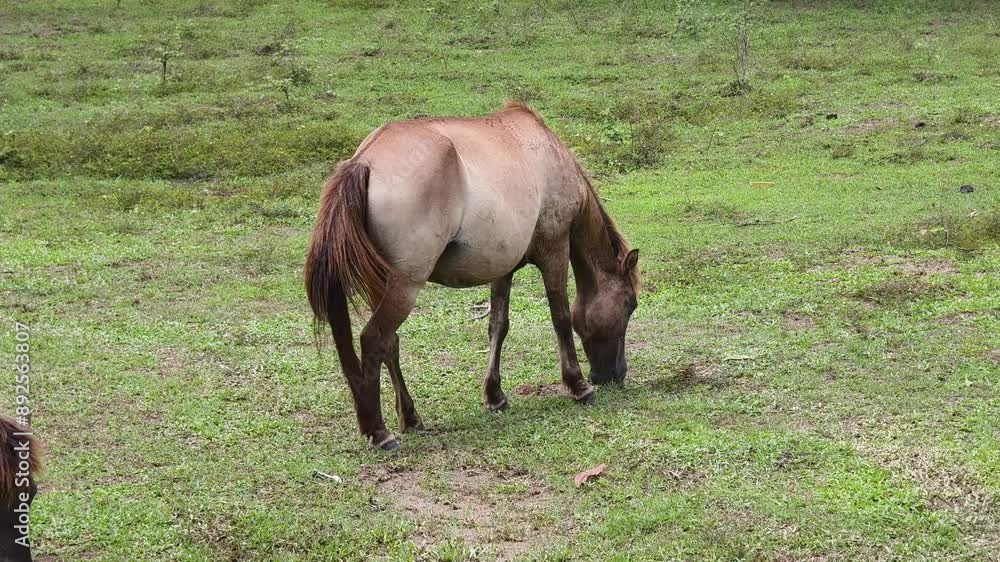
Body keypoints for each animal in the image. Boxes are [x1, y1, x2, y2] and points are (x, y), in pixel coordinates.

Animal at [305, 102, 640, 451]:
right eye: (630, 304)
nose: (617, 373)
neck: (549, 153)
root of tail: (364, 161)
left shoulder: (503, 268)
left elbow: (498, 326)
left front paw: (495, 395)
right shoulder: (555, 249)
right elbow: (560, 318)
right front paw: (578, 386)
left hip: (381, 284)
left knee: (389, 343)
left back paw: (410, 417)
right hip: (404, 286)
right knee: (373, 339)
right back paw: (379, 431)